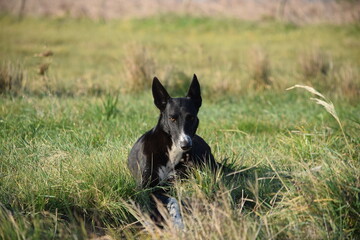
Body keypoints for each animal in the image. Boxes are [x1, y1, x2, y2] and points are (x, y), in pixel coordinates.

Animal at [129, 75, 219, 229]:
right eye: (172, 118)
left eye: (191, 117)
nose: (185, 145)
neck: (170, 151)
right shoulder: (145, 188)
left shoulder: (174, 184)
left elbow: (175, 200)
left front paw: (178, 223)